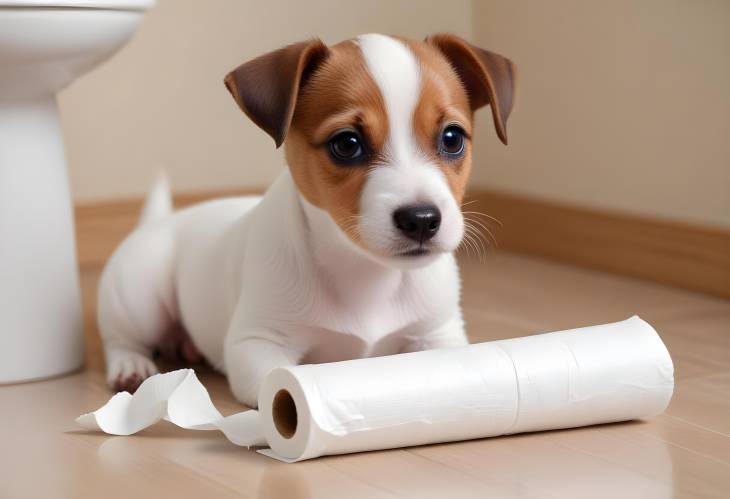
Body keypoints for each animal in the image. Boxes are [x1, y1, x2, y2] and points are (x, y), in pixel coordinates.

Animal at [99, 33, 516, 408]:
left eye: (452, 137)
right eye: (347, 144)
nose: (422, 220)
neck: (365, 274)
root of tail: (161, 221)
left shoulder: (438, 334)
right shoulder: (258, 344)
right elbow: (284, 379)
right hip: (140, 297)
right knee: (122, 337)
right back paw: (131, 365)